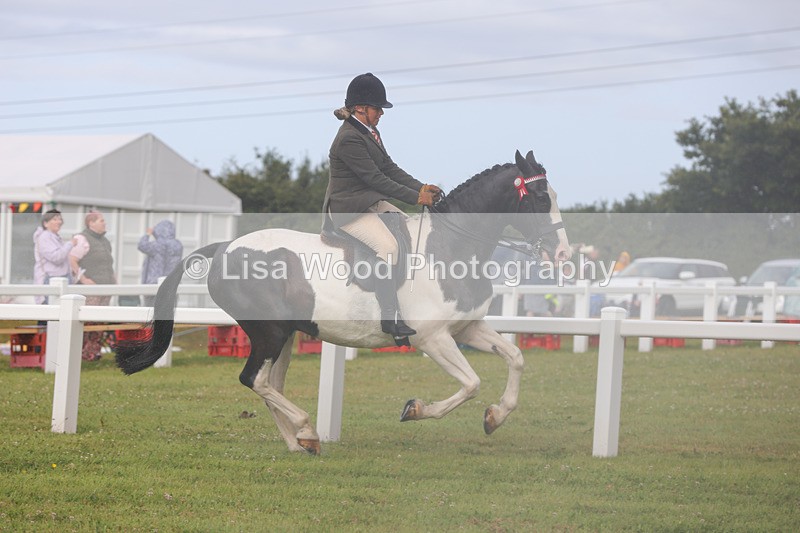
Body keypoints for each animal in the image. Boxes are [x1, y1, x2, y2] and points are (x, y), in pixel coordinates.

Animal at [115, 150, 572, 454]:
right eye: (541, 199)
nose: (564, 255)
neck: (450, 247)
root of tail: (226, 247)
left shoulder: (468, 328)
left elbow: (515, 358)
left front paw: (496, 416)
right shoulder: (433, 339)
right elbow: (471, 383)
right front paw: (415, 409)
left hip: (285, 335)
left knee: (270, 383)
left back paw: (299, 442)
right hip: (269, 332)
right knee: (255, 380)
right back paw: (305, 430)